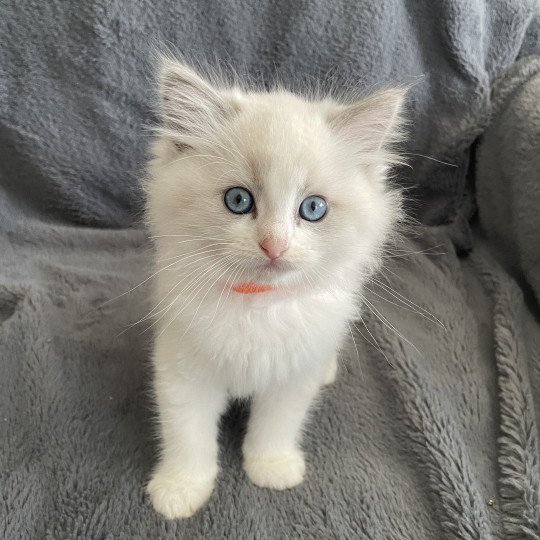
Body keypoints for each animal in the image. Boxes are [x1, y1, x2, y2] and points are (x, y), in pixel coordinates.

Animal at [143, 56, 404, 520]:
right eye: (238, 200)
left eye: (313, 208)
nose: (274, 245)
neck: (257, 305)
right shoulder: (182, 368)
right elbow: (187, 435)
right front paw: (180, 490)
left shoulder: (292, 374)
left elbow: (275, 426)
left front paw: (272, 468)